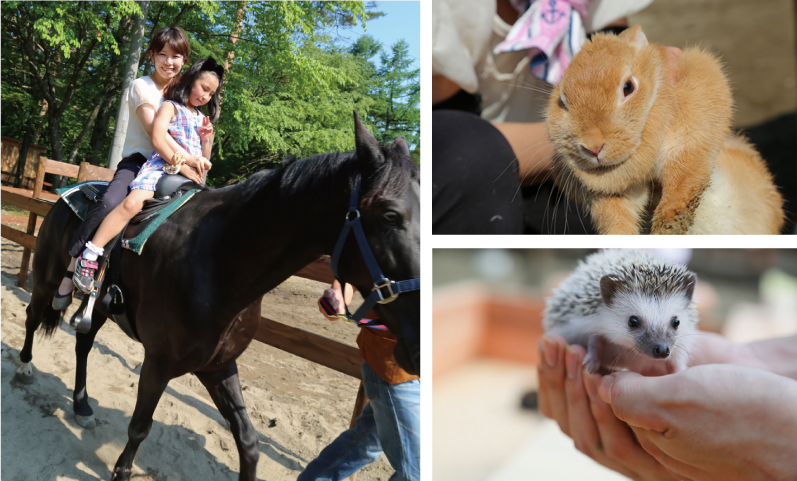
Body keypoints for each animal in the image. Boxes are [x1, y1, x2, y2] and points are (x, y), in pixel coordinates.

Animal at [15, 110, 420, 478]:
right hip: (48, 279)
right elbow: (140, 427)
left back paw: (81, 406)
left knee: (83, 343)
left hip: (100, 308)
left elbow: (249, 442)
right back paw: (24, 368)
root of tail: (71, 190)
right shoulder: (158, 363)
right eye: (389, 215)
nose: (417, 347)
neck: (217, 259)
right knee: (34, 317)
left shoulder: (218, 366)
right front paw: (122, 470)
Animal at [544, 24, 780, 234]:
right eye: (562, 103)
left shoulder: (688, 142)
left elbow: (682, 183)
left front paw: (667, 230)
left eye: (628, 87)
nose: (593, 146)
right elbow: (616, 217)